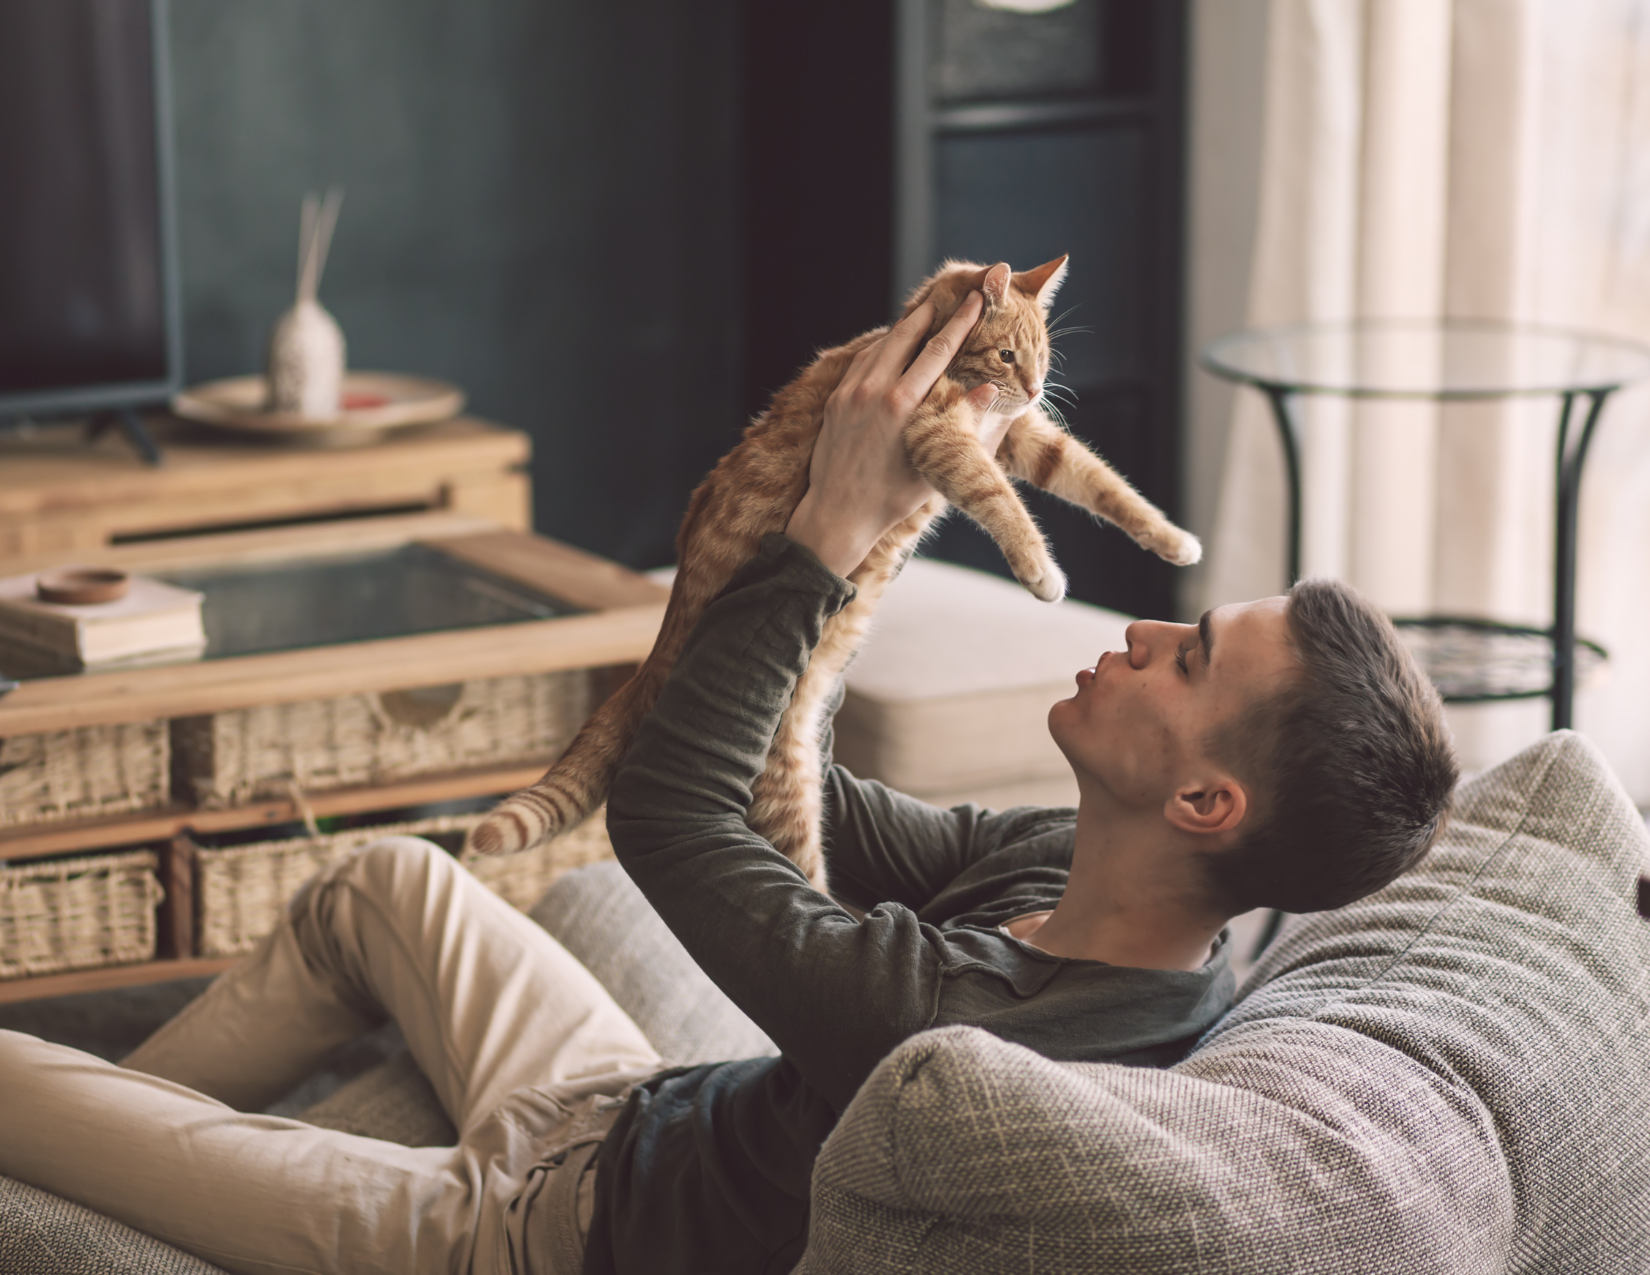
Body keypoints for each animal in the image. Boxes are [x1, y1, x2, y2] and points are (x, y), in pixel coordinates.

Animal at [465, 254, 1201, 877]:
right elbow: (1004, 504)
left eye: (1044, 356)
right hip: (785, 791)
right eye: (1007, 354)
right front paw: (1041, 571)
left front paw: (1173, 541)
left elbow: (1100, 482)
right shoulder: (939, 435)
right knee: (807, 887)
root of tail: (654, 655)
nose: (1036, 385)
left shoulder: (1019, 435)